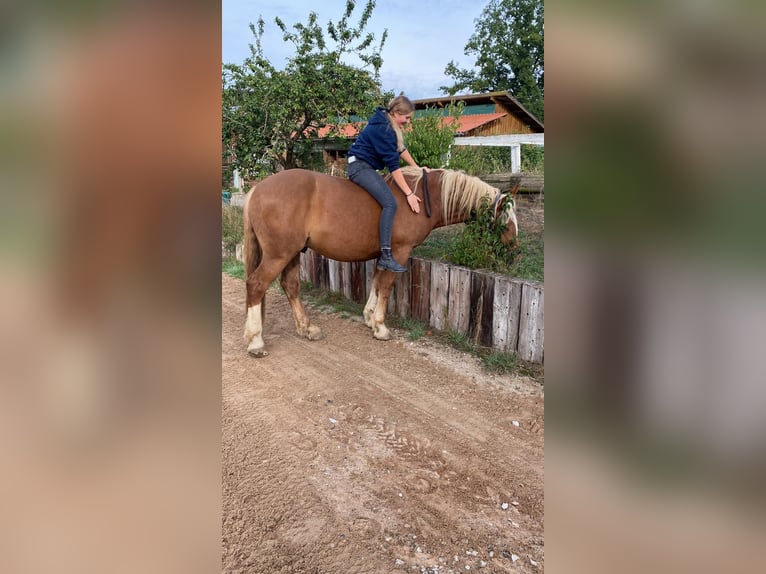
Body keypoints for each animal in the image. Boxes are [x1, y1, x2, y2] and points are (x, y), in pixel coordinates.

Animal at [243, 166, 520, 358]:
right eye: (506, 220)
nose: (515, 252)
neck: (422, 199)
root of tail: (258, 188)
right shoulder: (399, 252)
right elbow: (386, 286)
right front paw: (380, 326)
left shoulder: (383, 253)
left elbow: (376, 282)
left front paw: (369, 317)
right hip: (279, 254)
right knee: (256, 285)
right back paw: (256, 341)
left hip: (292, 253)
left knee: (290, 286)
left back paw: (306, 328)